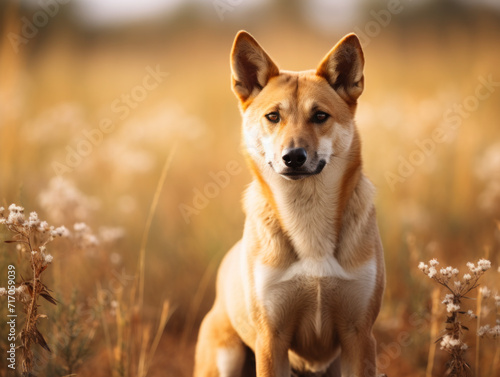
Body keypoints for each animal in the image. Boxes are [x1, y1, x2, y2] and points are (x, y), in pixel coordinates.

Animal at [193, 30, 384, 376]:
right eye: (273, 116)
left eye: (320, 116)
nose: (293, 157)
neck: (306, 214)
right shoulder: (272, 338)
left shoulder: (360, 336)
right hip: (225, 356)